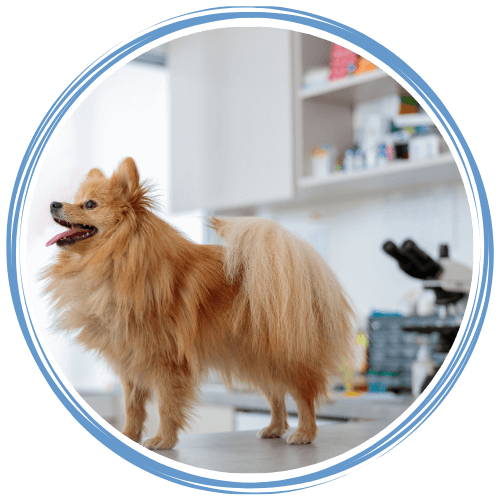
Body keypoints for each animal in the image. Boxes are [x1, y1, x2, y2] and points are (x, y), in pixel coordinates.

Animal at [42, 159, 356, 450]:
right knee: (276, 395)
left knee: (304, 394)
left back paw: (304, 433)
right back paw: (274, 428)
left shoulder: (166, 362)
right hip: (255, 358)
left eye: (89, 204)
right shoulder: (131, 362)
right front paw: (130, 435)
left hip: (284, 356)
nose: (54, 204)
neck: (115, 260)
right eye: (76, 199)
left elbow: (166, 405)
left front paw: (163, 439)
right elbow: (134, 408)